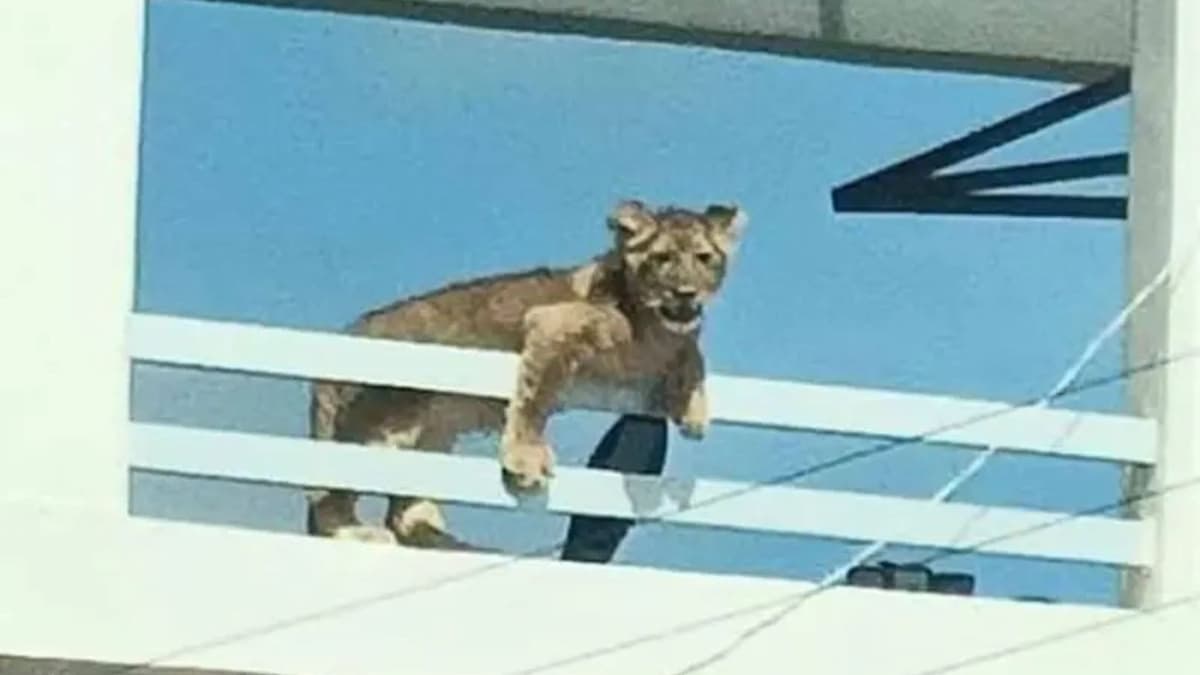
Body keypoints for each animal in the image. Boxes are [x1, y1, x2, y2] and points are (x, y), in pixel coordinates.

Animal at [306, 199, 747, 547]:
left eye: (704, 258)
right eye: (662, 259)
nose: (686, 293)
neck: (655, 328)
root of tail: (349, 331)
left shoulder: (678, 339)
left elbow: (693, 353)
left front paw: (693, 410)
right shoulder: (550, 324)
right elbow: (536, 398)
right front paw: (526, 462)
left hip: (431, 432)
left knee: (404, 509)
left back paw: (444, 538)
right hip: (376, 426)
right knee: (327, 499)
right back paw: (357, 531)